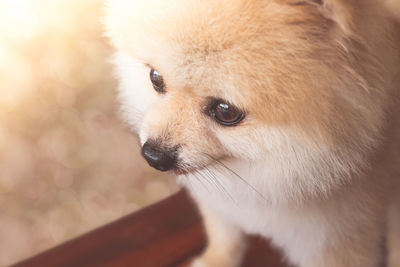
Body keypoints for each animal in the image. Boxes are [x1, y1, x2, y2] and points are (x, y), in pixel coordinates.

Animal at [104, 0, 398, 266]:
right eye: (155, 78)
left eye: (225, 111)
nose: (153, 155)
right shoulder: (220, 206)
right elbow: (225, 236)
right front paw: (215, 260)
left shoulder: (336, 240)